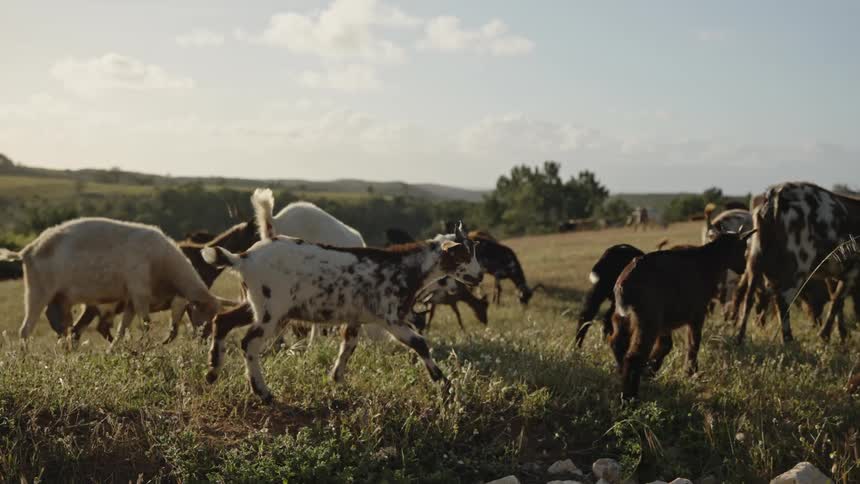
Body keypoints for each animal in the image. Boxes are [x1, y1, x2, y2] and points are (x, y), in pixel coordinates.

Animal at [15, 218, 220, 347]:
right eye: (204, 314)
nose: (205, 342)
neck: (162, 265)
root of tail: (28, 250)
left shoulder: (131, 300)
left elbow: (123, 328)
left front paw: (115, 351)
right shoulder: (140, 292)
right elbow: (146, 324)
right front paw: (145, 349)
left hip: (60, 298)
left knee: (63, 327)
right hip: (37, 291)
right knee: (25, 331)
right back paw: (25, 363)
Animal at [201, 189, 483, 402]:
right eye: (463, 254)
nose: (479, 276)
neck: (404, 266)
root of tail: (243, 258)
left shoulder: (356, 318)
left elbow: (348, 345)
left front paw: (336, 379)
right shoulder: (389, 317)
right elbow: (420, 343)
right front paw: (445, 384)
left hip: (255, 304)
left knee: (222, 321)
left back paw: (213, 371)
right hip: (272, 310)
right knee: (248, 342)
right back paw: (263, 392)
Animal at [610, 229, 755, 399]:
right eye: (743, 248)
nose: (743, 267)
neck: (709, 261)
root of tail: (624, 283)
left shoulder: (665, 322)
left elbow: (666, 344)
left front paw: (651, 370)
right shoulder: (697, 314)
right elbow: (693, 343)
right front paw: (691, 373)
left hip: (623, 317)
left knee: (616, 342)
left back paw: (622, 373)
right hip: (648, 320)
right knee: (634, 356)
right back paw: (630, 397)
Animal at [736, 182, 860, 344]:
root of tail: (776, 194)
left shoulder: (835, 276)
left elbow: (837, 303)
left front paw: (841, 335)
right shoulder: (851, 273)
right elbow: (837, 301)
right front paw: (825, 335)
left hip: (755, 264)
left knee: (749, 299)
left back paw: (740, 338)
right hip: (796, 268)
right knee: (782, 301)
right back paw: (788, 340)